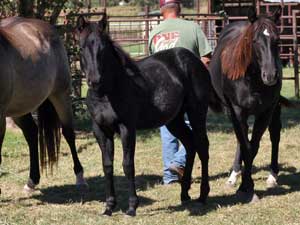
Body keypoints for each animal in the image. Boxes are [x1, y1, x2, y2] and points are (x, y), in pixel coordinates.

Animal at [0, 17, 86, 193]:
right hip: (20, 107)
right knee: (32, 133)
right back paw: (31, 181)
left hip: (60, 95)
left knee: (68, 133)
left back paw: (80, 177)